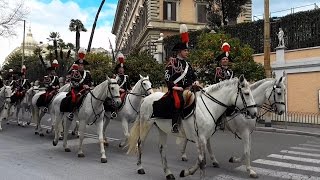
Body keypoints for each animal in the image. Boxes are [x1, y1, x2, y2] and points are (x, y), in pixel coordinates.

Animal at [127, 76, 258, 180]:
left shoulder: (203, 139)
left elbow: (200, 160)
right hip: (146, 124)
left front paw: (185, 172)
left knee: (162, 149)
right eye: (247, 93)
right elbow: (202, 162)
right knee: (140, 144)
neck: (208, 106)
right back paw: (140, 167)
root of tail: (146, 98)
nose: (255, 113)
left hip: (161, 129)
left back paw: (168, 173)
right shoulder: (200, 138)